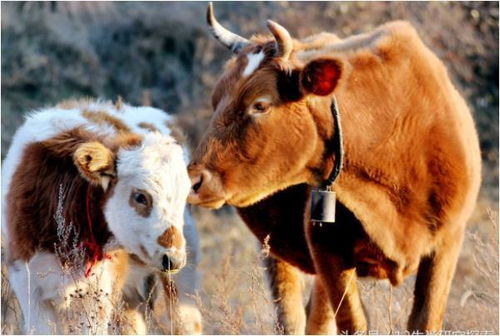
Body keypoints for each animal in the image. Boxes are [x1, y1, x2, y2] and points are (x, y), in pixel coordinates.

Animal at [188, 4, 480, 334]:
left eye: (260, 105)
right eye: (215, 101)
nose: (194, 181)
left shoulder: (447, 243)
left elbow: (425, 320)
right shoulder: (327, 250)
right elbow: (351, 321)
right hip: (276, 252)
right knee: (293, 316)